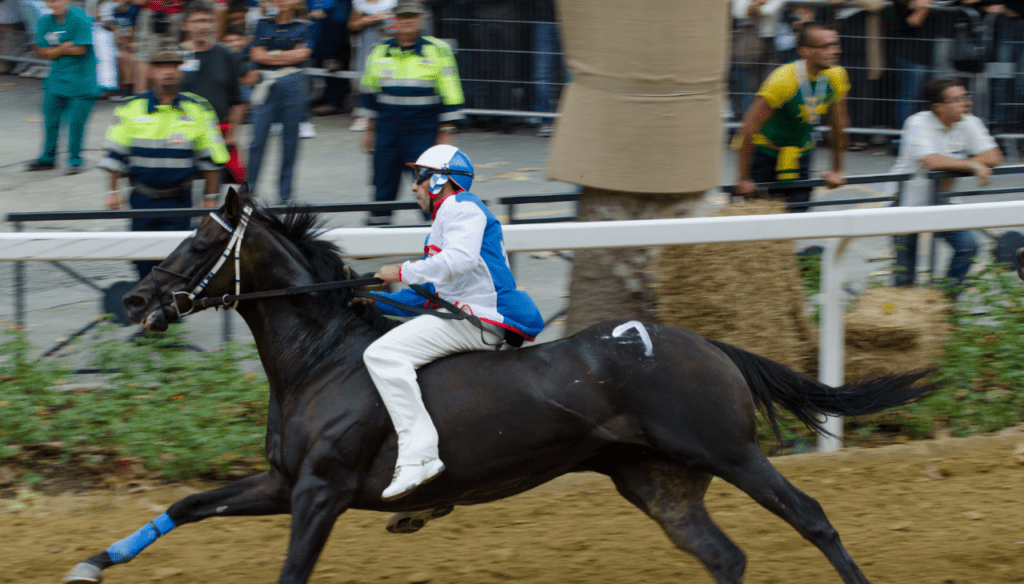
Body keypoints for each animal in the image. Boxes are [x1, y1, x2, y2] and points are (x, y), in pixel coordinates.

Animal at [66, 187, 937, 581]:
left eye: (199, 241)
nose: (137, 301)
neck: (322, 358)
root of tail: (707, 343)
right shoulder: (286, 482)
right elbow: (187, 504)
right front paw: (92, 563)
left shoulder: (321, 491)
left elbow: (289, 571)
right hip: (657, 481)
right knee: (724, 557)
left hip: (728, 450)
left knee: (812, 517)